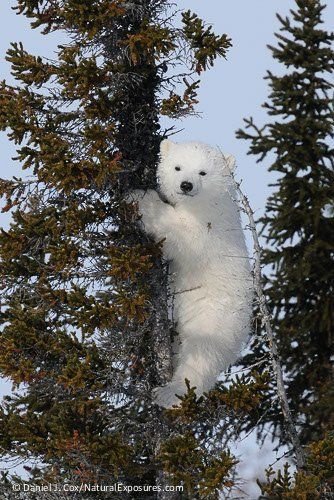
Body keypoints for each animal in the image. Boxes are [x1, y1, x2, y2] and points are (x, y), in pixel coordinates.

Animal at [129, 140, 252, 406]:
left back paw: (168, 394)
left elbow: (181, 231)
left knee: (199, 357)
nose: (186, 185)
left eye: (203, 172)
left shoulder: (209, 228)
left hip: (214, 319)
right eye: (178, 167)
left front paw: (139, 197)